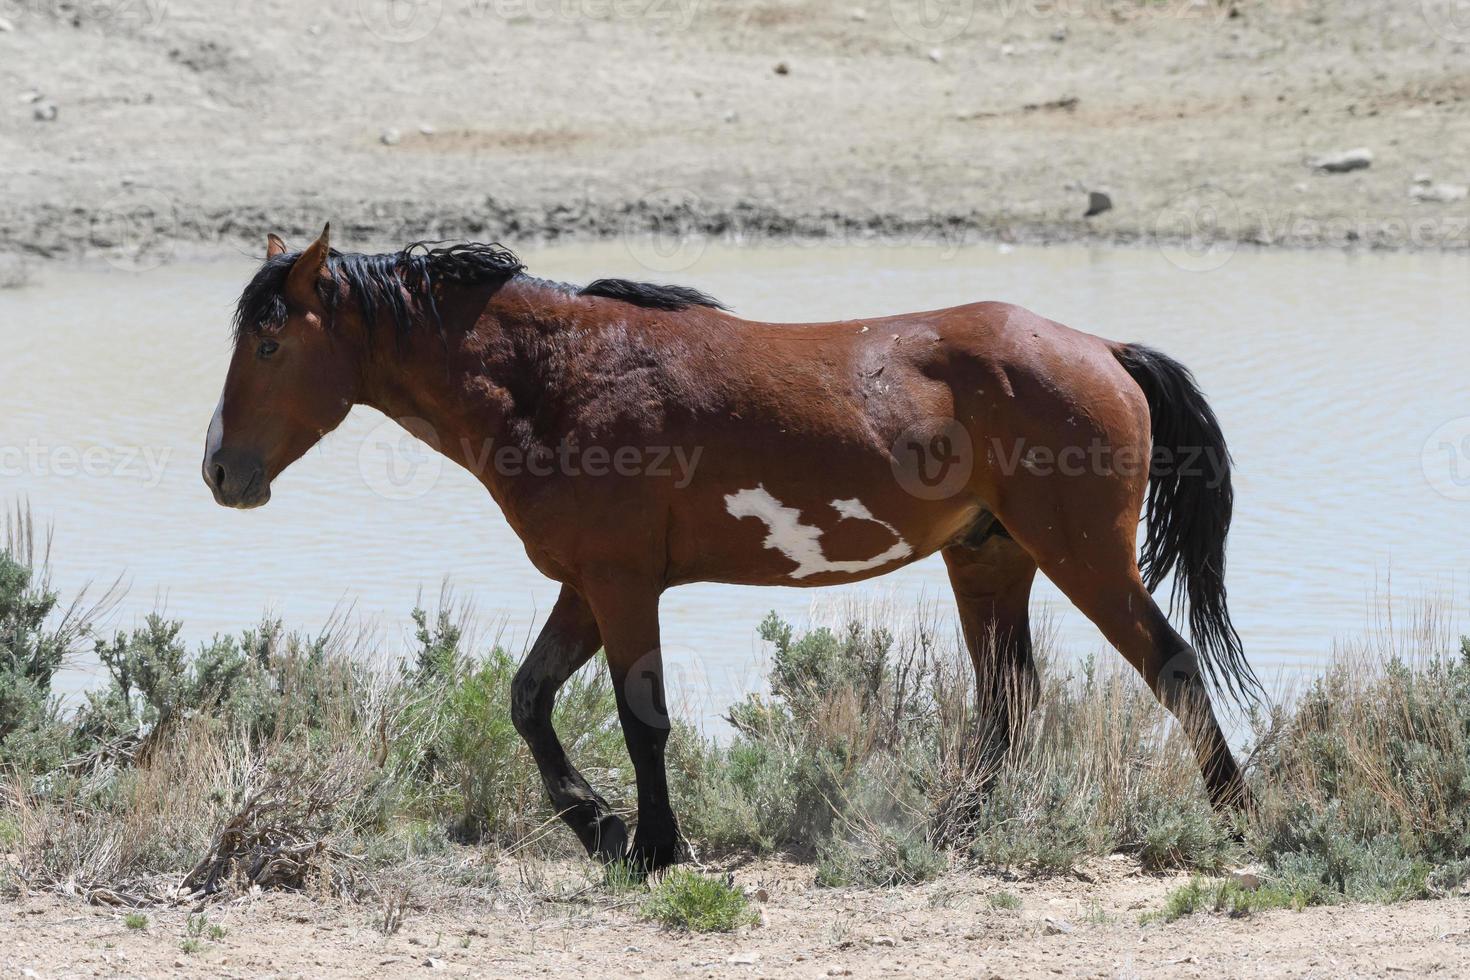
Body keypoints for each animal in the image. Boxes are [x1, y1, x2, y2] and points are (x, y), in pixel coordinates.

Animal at [204, 226, 1264, 869]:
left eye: (269, 344)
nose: (220, 470)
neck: (559, 376)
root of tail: (1101, 349)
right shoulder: (586, 587)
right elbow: (530, 700)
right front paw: (600, 826)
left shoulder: (623, 585)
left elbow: (644, 719)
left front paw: (654, 846)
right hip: (991, 560)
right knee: (1008, 702)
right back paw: (952, 830)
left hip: (1084, 558)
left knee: (1170, 666)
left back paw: (1242, 818)